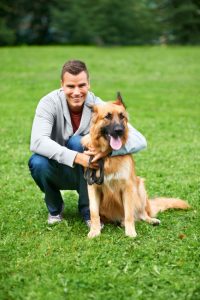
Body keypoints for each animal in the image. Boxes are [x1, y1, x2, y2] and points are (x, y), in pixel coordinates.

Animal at [81, 92, 189, 238]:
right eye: (107, 116)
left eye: (122, 116)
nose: (119, 130)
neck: (108, 157)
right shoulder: (93, 187)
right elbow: (93, 213)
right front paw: (94, 230)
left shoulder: (128, 187)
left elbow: (129, 214)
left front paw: (130, 232)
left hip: (140, 186)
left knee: (141, 213)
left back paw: (150, 220)